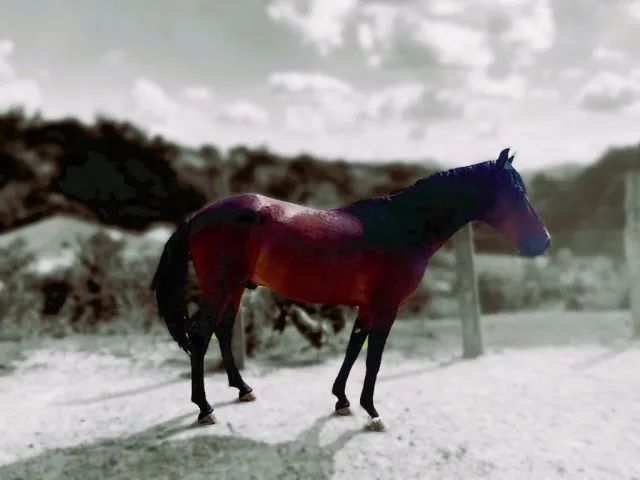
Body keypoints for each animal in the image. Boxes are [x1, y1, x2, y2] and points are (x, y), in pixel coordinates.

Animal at [150, 147, 550, 431]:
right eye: (516, 194)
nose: (543, 241)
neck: (401, 226)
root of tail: (198, 217)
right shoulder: (387, 307)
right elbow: (373, 358)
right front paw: (372, 411)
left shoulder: (368, 306)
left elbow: (354, 347)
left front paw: (341, 399)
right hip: (221, 287)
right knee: (200, 334)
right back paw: (204, 408)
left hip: (234, 288)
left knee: (221, 329)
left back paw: (243, 388)